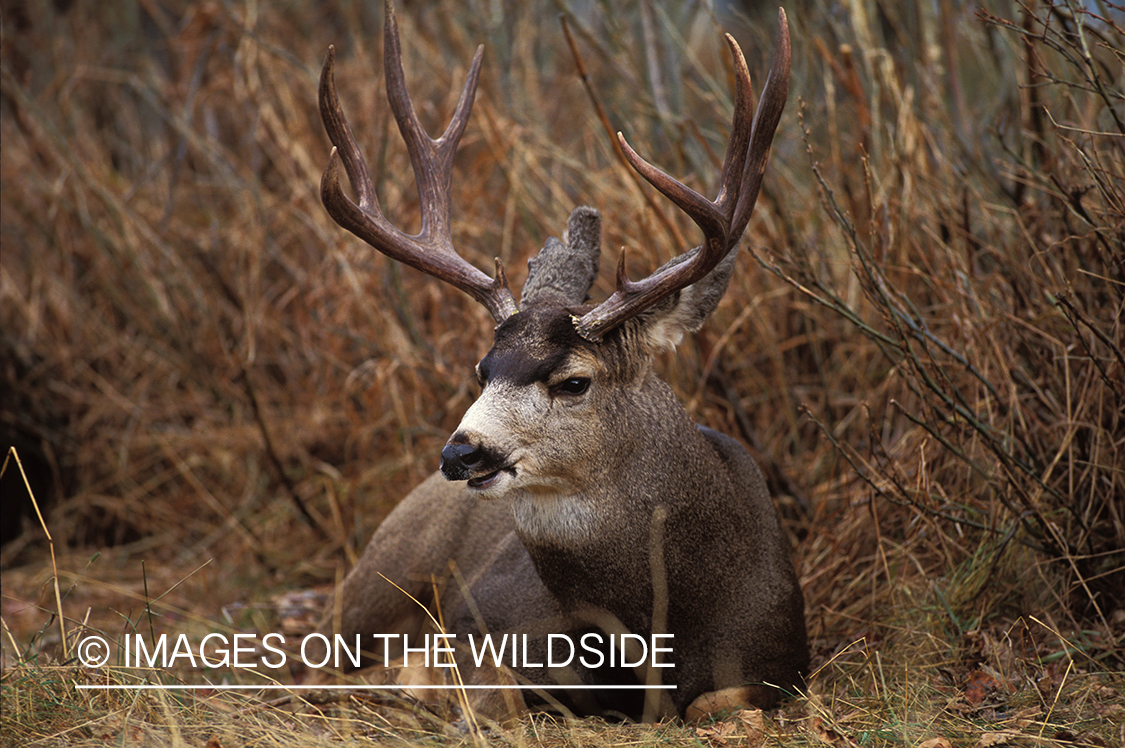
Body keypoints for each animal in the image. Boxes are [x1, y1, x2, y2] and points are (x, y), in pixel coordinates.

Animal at [317, 0, 805, 724]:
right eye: (482, 369)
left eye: (574, 381)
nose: (461, 452)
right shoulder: (486, 622)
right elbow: (495, 695)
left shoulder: (779, 658)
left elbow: (719, 701)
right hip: (378, 581)